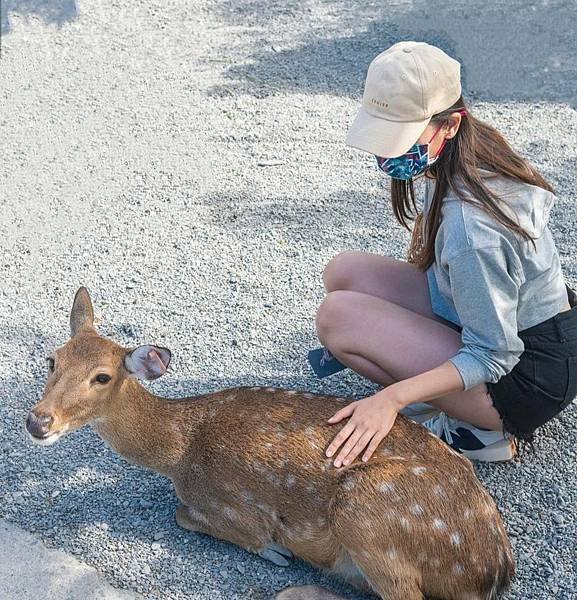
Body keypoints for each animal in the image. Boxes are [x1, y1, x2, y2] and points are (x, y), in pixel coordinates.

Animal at [25, 288, 512, 596]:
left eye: (102, 377)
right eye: (52, 359)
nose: (38, 421)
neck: (179, 450)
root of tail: (494, 570)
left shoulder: (227, 502)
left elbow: (186, 515)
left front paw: (276, 550)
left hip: (368, 511)